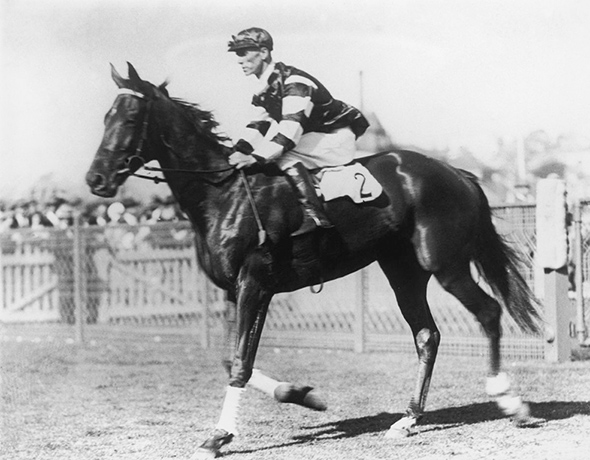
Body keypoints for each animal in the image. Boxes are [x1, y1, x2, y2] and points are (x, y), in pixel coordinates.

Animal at [85, 63, 544, 458]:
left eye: (130, 118)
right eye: (105, 117)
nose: (96, 179)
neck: (223, 194)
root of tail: (457, 174)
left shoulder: (254, 284)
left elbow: (240, 363)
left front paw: (217, 436)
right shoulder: (237, 292)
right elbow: (232, 359)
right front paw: (303, 395)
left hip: (444, 264)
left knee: (488, 312)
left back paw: (511, 403)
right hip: (403, 271)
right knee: (427, 335)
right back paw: (409, 419)